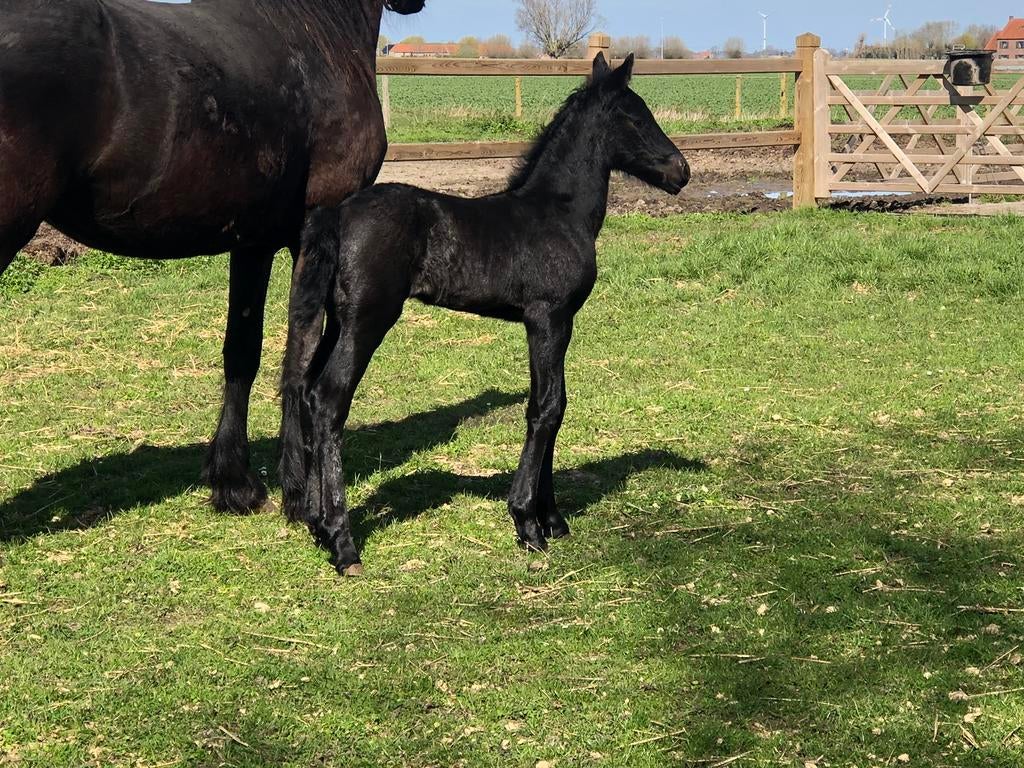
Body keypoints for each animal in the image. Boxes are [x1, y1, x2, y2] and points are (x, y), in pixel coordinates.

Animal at [0, 0, 425, 514]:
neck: (317, 30)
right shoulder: (314, 230)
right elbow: (301, 354)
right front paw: (298, 489)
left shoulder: (252, 243)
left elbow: (243, 350)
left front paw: (234, 482)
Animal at [284, 53, 690, 574]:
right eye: (636, 117)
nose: (681, 171)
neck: (558, 213)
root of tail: (337, 214)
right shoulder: (549, 318)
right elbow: (547, 408)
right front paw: (528, 523)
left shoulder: (553, 324)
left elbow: (553, 404)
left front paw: (553, 519)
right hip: (366, 321)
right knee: (328, 399)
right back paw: (343, 543)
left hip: (337, 321)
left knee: (306, 391)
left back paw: (316, 523)